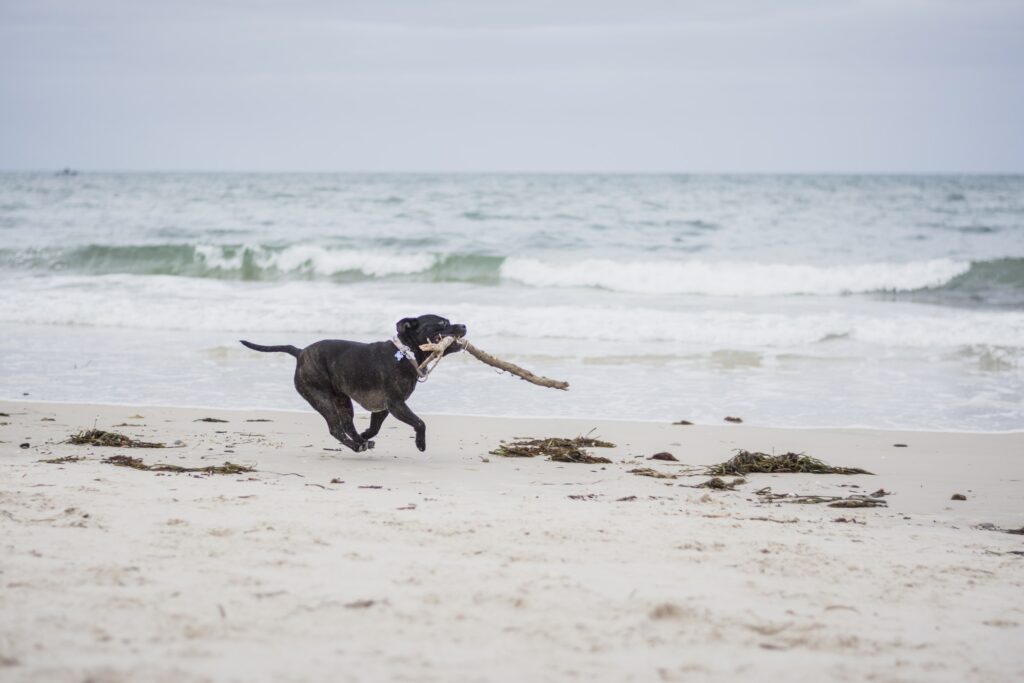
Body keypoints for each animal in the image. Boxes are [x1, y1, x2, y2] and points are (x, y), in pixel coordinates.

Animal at [237, 315, 466, 454]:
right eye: (442, 323)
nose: (464, 325)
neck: (405, 352)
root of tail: (300, 352)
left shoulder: (383, 408)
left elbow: (375, 427)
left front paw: (366, 434)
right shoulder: (396, 404)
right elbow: (419, 422)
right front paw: (420, 443)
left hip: (342, 400)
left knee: (347, 424)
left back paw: (360, 441)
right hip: (321, 399)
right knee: (336, 429)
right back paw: (356, 446)